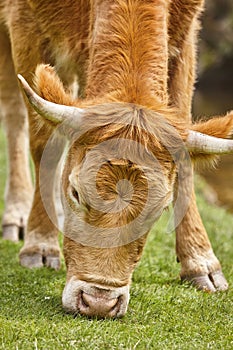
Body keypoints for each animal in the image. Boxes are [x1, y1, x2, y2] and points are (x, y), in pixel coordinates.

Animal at [0, 0, 233, 318]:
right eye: (76, 192)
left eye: (159, 211)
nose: (99, 302)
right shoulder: (24, 21)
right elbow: (42, 141)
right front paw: (40, 245)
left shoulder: (186, 31)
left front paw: (200, 260)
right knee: (14, 113)